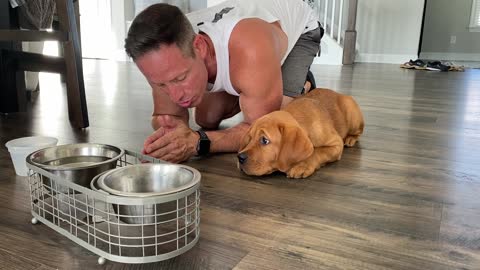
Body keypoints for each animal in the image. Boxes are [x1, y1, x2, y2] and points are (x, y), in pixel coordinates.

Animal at [236, 87, 364, 178]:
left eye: (264, 140)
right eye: (250, 138)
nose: (239, 157)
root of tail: (339, 93)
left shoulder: (336, 144)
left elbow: (317, 152)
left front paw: (302, 165)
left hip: (352, 115)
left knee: (359, 131)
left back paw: (350, 138)